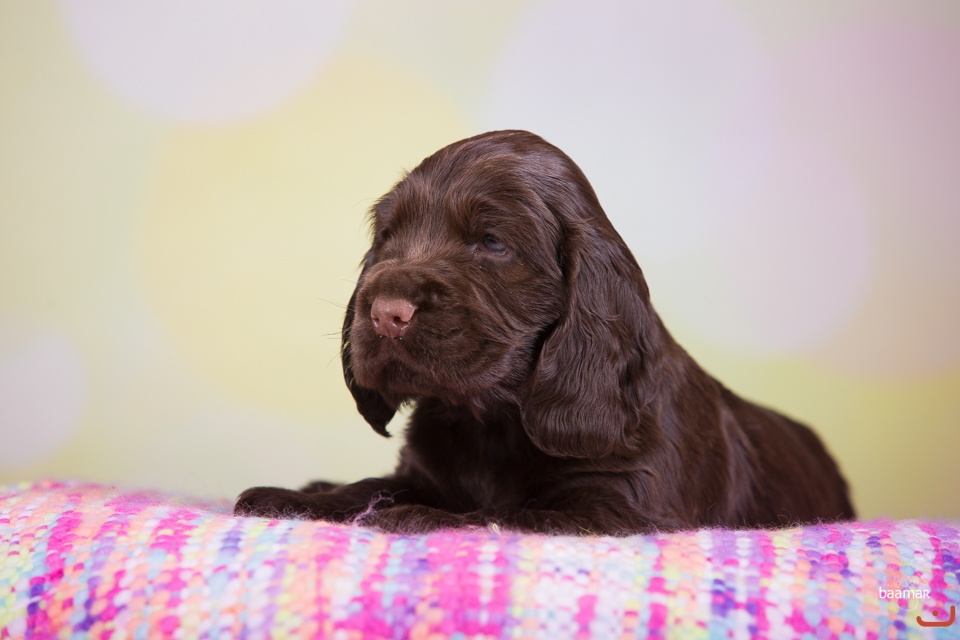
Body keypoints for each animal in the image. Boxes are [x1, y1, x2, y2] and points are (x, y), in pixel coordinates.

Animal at [235, 130, 855, 535]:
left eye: (491, 242)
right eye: (387, 236)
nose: (386, 311)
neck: (491, 422)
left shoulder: (619, 507)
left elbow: (510, 511)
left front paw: (417, 516)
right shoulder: (422, 470)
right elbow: (371, 486)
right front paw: (290, 498)